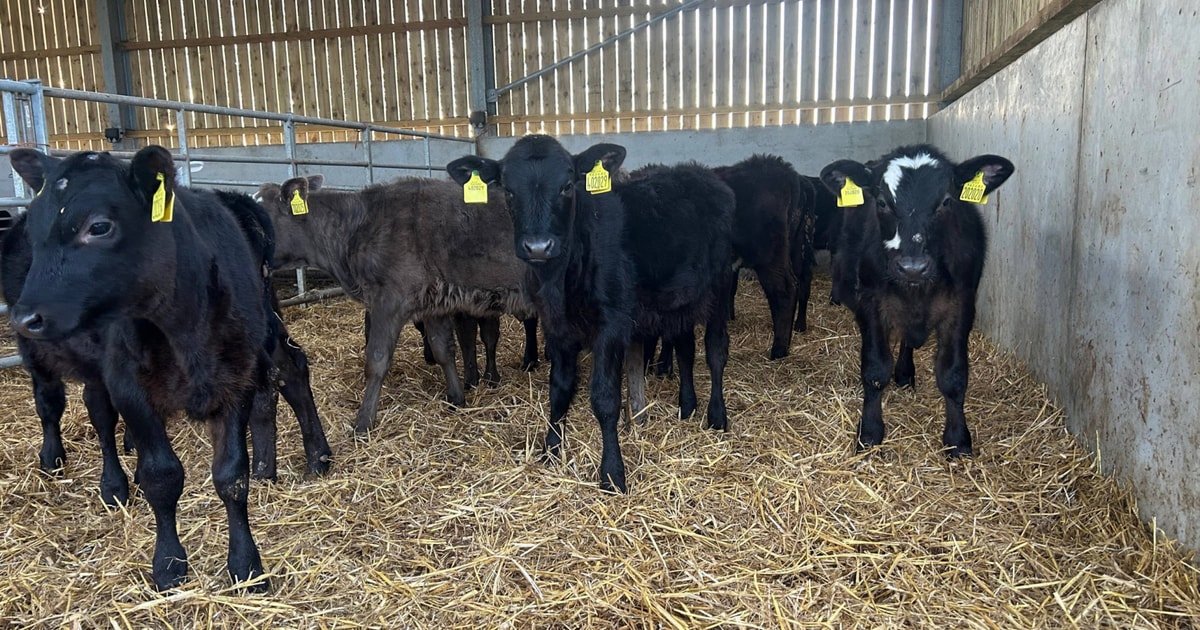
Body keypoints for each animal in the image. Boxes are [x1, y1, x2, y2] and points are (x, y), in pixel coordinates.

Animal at [4, 146, 299, 591]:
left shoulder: (238, 379)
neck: (184, 327)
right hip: (41, 356)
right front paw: (169, 563)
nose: (26, 316)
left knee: (97, 410)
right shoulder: (129, 386)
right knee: (56, 406)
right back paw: (73, 465)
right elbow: (163, 476)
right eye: (38, 230)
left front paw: (247, 565)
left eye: (99, 226)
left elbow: (232, 477)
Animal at [253, 174, 536, 434]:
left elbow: (377, 360)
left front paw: (363, 422)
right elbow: (442, 350)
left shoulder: (388, 301)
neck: (357, 228)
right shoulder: (433, 304)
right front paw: (456, 398)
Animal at [447, 135, 735, 493]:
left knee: (716, 350)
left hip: (720, 286)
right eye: (508, 191)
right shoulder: (555, 326)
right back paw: (687, 406)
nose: (538, 246)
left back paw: (716, 415)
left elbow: (604, 398)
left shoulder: (611, 326)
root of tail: (700, 173)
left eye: (568, 186)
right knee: (685, 348)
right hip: (678, 300)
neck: (562, 280)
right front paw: (551, 450)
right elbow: (559, 389)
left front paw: (612, 472)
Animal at [818, 144, 1014, 455]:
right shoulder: (870, 303)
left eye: (946, 201)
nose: (912, 267)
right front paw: (869, 432)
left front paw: (958, 438)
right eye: (882, 202)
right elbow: (875, 369)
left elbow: (953, 375)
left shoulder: (962, 306)